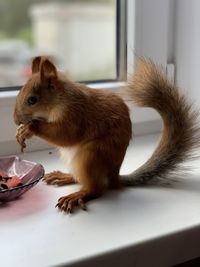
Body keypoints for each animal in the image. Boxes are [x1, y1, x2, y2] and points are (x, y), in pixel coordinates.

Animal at [13, 56, 199, 214]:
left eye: (32, 100)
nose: (15, 120)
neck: (60, 99)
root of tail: (114, 177)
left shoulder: (76, 115)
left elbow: (66, 134)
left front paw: (30, 128)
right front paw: (20, 132)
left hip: (91, 156)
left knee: (95, 189)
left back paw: (76, 196)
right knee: (79, 179)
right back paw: (64, 176)